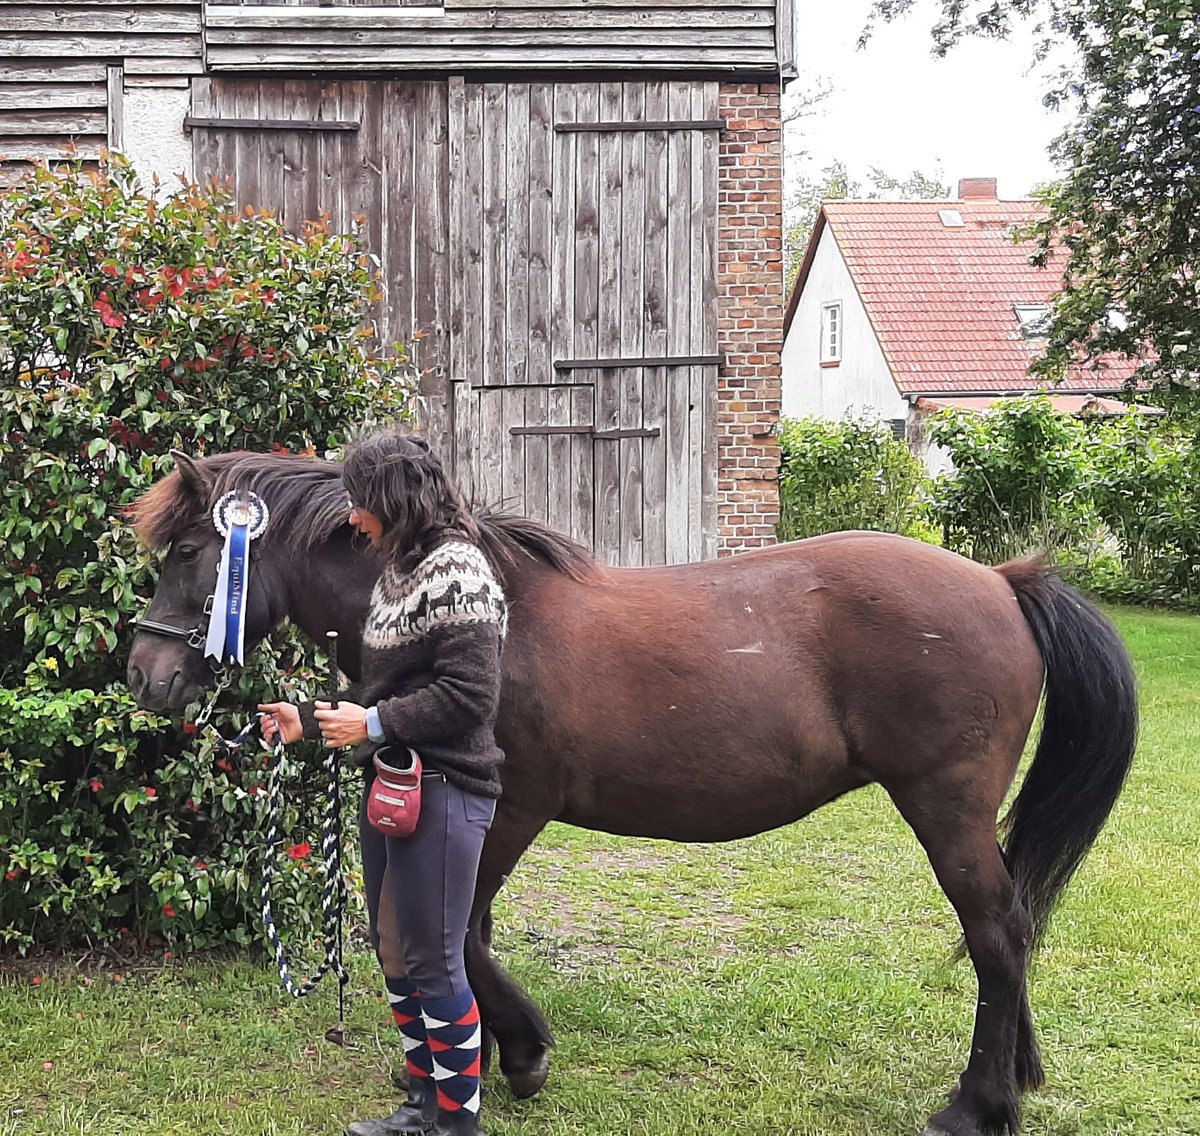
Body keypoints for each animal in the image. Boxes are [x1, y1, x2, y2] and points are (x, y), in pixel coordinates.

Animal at [125, 450, 1137, 1136]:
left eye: (191, 549)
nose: (143, 674)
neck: (491, 611)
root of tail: (1002, 582)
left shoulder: (511, 811)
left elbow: (461, 935)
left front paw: (522, 1054)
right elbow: (444, 938)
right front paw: (486, 1059)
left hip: (944, 807)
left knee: (996, 934)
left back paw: (976, 1103)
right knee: (1009, 927)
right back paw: (1016, 1075)